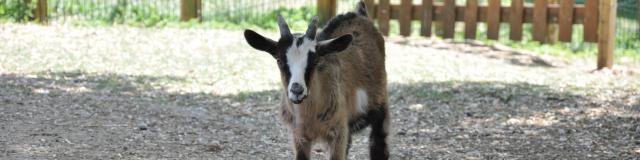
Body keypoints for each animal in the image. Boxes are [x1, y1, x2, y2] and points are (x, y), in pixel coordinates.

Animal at [242, 1, 388, 159]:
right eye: (279, 60)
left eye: (315, 61)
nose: (297, 90)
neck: (309, 117)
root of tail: (359, 13)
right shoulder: (299, 136)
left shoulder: (338, 133)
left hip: (381, 105)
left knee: (379, 143)